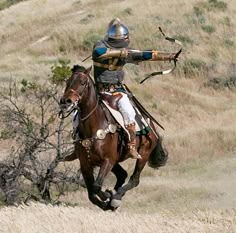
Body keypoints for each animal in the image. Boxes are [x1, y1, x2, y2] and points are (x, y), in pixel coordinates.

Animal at [60, 65, 169, 211]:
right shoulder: (85, 164)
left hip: (143, 154)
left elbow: (96, 187)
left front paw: (108, 196)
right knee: (123, 175)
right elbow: (91, 193)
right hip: (116, 160)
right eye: (67, 82)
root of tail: (151, 125)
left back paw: (116, 197)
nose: (65, 101)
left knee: (134, 179)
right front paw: (106, 201)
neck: (94, 126)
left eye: (82, 83)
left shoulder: (107, 161)